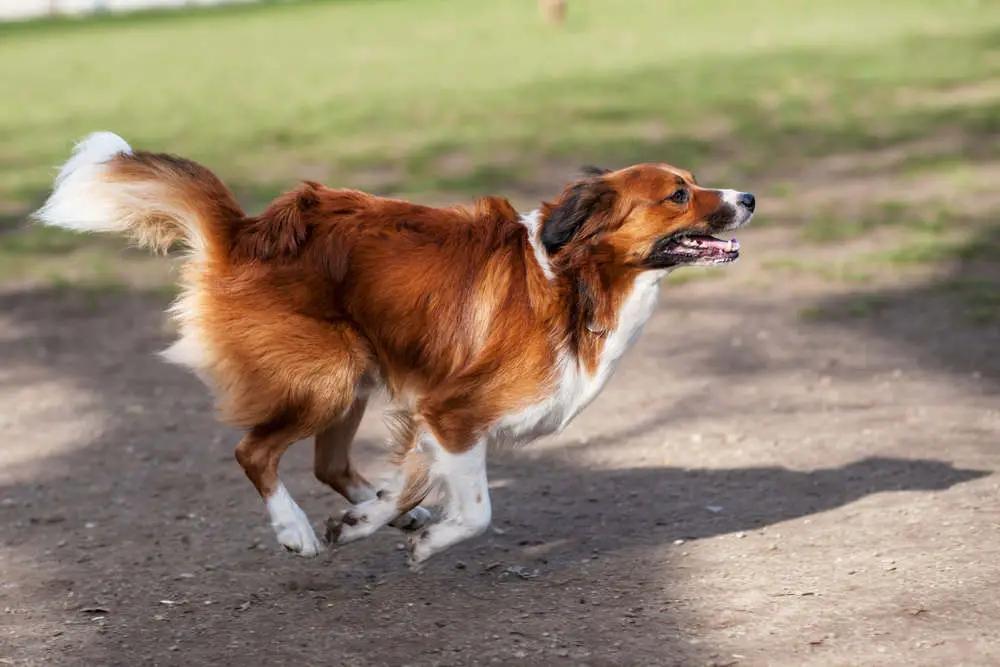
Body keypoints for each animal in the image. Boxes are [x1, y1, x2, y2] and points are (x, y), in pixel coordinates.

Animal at [31, 132, 752, 568]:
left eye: (694, 182)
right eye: (679, 194)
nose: (747, 196)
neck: (576, 278)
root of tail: (246, 231)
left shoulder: (433, 419)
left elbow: (410, 482)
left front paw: (378, 519)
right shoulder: (453, 413)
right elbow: (479, 511)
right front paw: (428, 541)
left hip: (354, 373)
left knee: (330, 464)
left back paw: (369, 513)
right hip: (327, 375)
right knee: (254, 452)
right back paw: (295, 530)